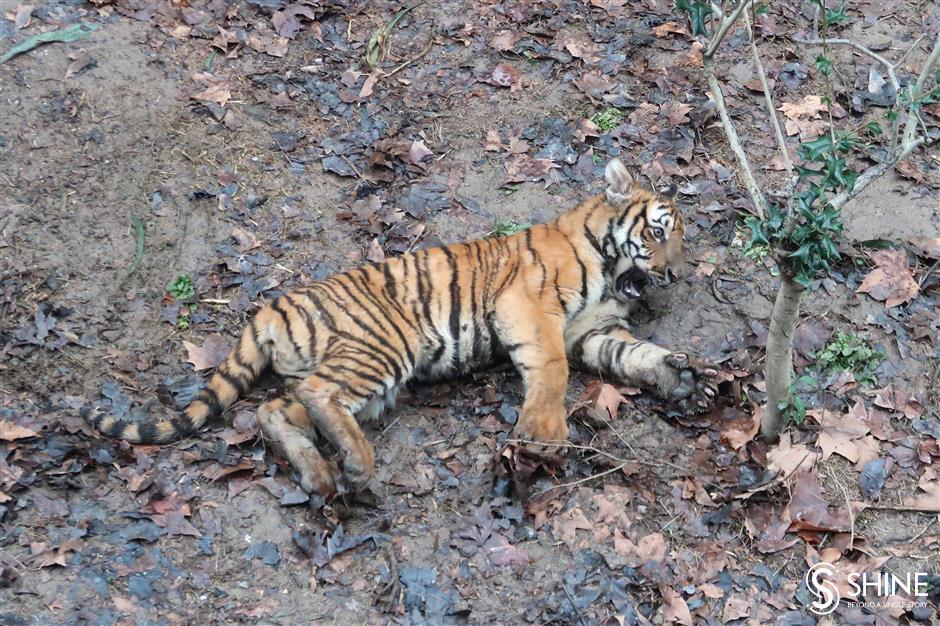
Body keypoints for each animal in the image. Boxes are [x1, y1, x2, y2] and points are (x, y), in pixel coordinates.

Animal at [90, 158, 720, 494]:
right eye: (659, 232)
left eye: (682, 240)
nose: (676, 273)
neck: (611, 272)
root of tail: (272, 307)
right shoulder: (527, 305)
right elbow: (551, 366)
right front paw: (544, 432)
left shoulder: (591, 332)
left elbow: (632, 354)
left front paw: (683, 377)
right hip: (384, 346)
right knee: (315, 395)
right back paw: (358, 464)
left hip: (343, 373)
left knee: (275, 409)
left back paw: (321, 473)